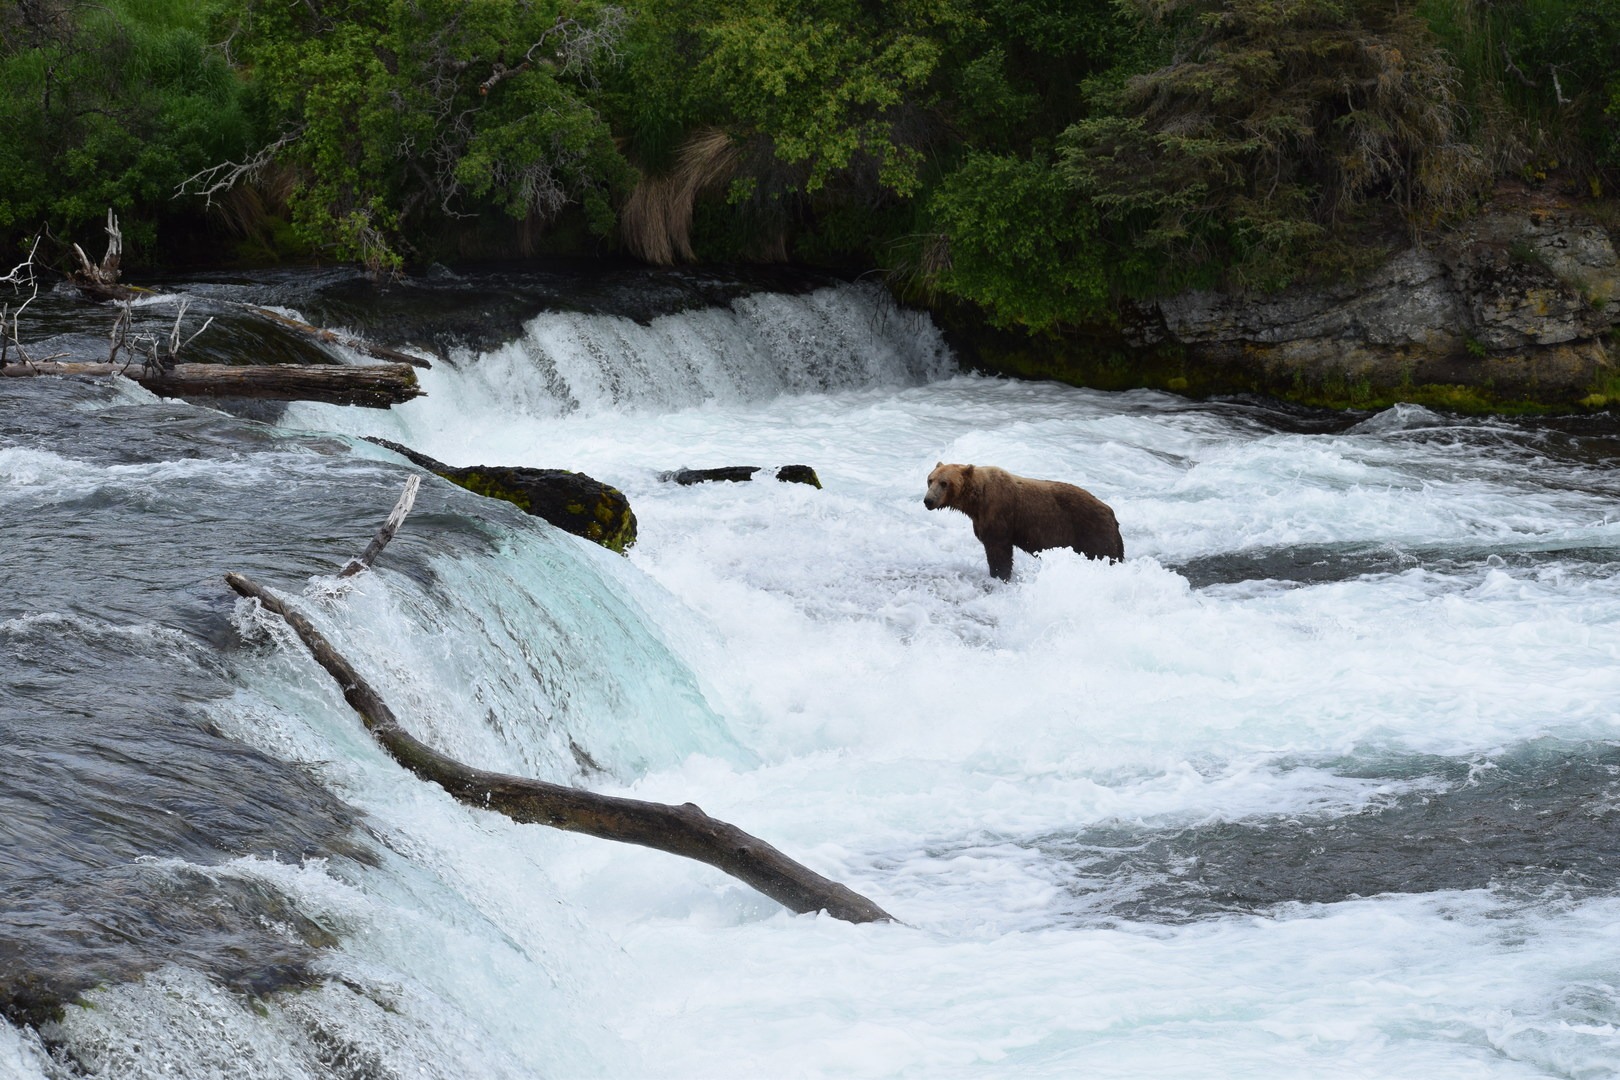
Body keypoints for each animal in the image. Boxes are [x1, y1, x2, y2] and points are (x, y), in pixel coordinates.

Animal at [923, 462, 1123, 581]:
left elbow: (999, 550)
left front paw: (999, 575)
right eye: (930, 480)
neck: (976, 499)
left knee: (1105, 555)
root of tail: (1111, 513)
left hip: (1092, 531)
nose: (928, 500)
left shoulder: (998, 512)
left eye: (944, 483)